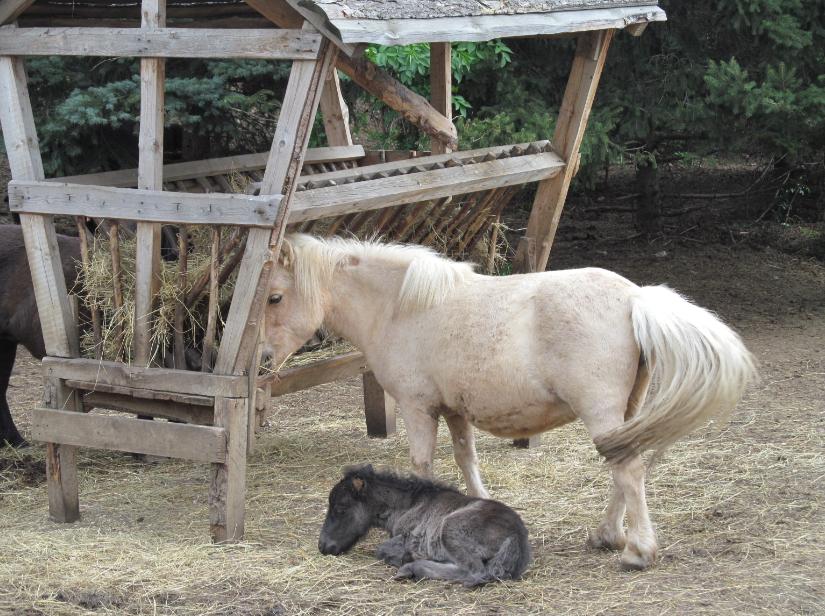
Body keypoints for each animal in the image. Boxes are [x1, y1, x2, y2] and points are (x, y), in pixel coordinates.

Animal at [262, 233, 752, 572]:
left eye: (275, 297)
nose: (265, 359)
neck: (402, 308)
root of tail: (634, 297)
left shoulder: (418, 408)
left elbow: (422, 467)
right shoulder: (454, 411)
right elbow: (467, 461)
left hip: (602, 412)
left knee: (628, 471)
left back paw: (636, 551)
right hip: (625, 414)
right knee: (624, 468)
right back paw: (608, 535)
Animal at [318, 466, 532, 588]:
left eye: (340, 508)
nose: (323, 546)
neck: (409, 504)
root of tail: (517, 536)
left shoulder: (405, 536)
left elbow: (382, 550)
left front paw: (403, 557)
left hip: (449, 529)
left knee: (475, 572)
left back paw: (411, 567)